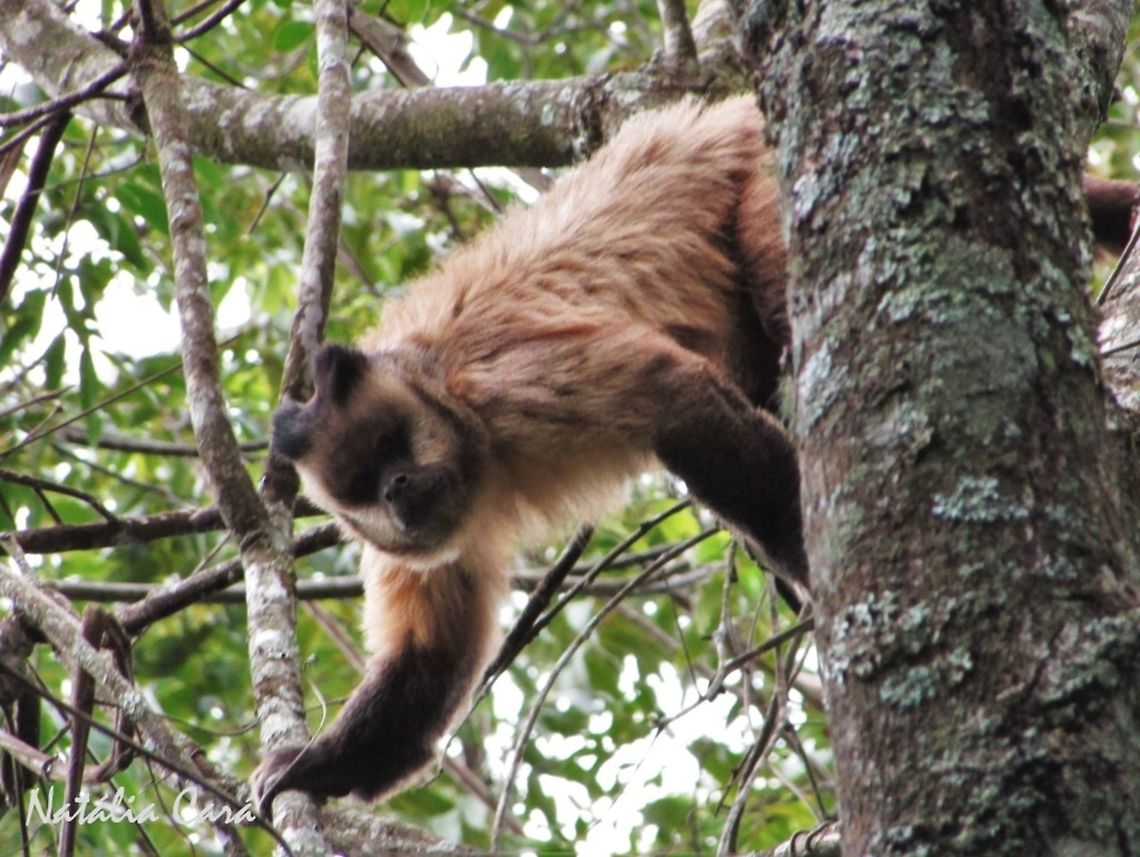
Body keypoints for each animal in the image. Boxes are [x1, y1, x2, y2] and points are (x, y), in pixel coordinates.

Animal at [252, 95, 1140, 810]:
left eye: (391, 446)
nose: (401, 489)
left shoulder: (509, 384)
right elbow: (427, 661)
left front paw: (823, 573)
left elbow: (673, 399)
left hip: (771, 173)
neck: (461, 420)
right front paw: (309, 769)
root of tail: (719, 112)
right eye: (364, 485)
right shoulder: (424, 536)